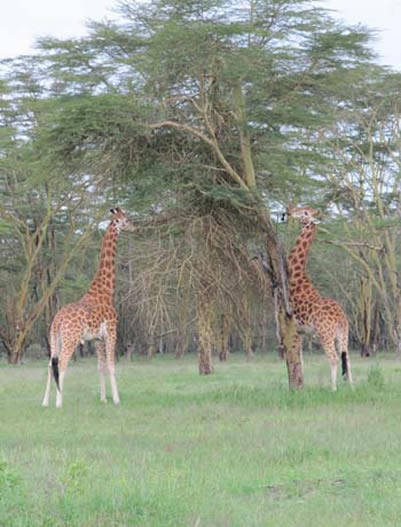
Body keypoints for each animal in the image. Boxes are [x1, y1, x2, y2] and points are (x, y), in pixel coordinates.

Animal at [41, 207, 136, 408]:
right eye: (126, 220)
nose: (135, 226)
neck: (106, 290)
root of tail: (57, 319)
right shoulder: (112, 331)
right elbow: (111, 365)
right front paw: (116, 400)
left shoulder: (97, 339)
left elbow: (100, 367)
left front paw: (103, 399)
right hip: (71, 338)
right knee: (61, 364)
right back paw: (59, 403)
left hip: (54, 338)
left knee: (50, 364)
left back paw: (45, 402)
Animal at [286, 206, 352, 392]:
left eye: (305, 213)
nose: (289, 211)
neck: (297, 275)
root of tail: (340, 318)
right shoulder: (301, 331)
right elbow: (300, 360)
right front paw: (301, 385)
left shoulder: (293, 325)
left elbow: (296, 358)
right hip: (343, 334)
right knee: (347, 358)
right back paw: (352, 387)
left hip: (325, 334)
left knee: (334, 358)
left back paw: (333, 389)